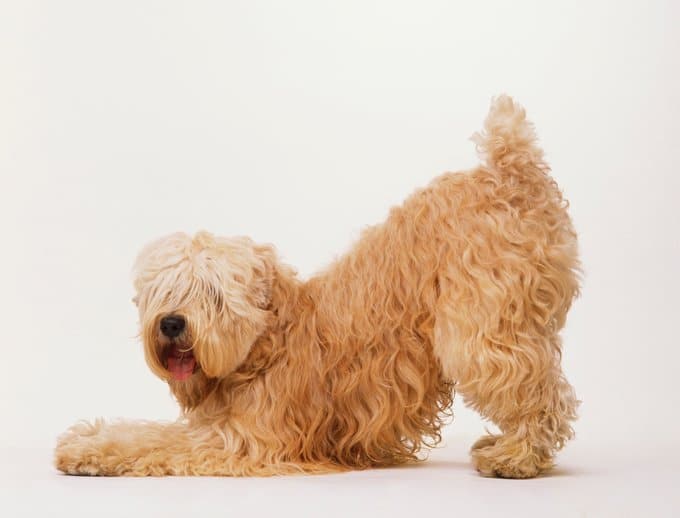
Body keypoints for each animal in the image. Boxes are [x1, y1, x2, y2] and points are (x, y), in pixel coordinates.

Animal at [55, 96, 580, 480]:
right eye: (164, 290)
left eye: (212, 293)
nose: (170, 324)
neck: (265, 346)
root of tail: (510, 172)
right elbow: (142, 429)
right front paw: (85, 437)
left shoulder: (239, 440)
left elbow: (153, 440)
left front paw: (88, 451)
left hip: (484, 332)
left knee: (538, 394)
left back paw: (516, 458)